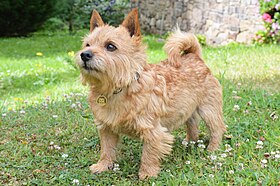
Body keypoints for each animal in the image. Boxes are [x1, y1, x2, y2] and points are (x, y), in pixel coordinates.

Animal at [75, 8, 226, 179]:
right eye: (87, 44)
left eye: (110, 46)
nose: (84, 54)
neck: (119, 88)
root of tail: (194, 56)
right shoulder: (106, 128)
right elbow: (106, 149)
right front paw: (103, 166)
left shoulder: (152, 131)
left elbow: (149, 153)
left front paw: (147, 173)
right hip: (188, 109)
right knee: (193, 125)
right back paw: (190, 142)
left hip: (208, 109)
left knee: (217, 128)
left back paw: (213, 149)